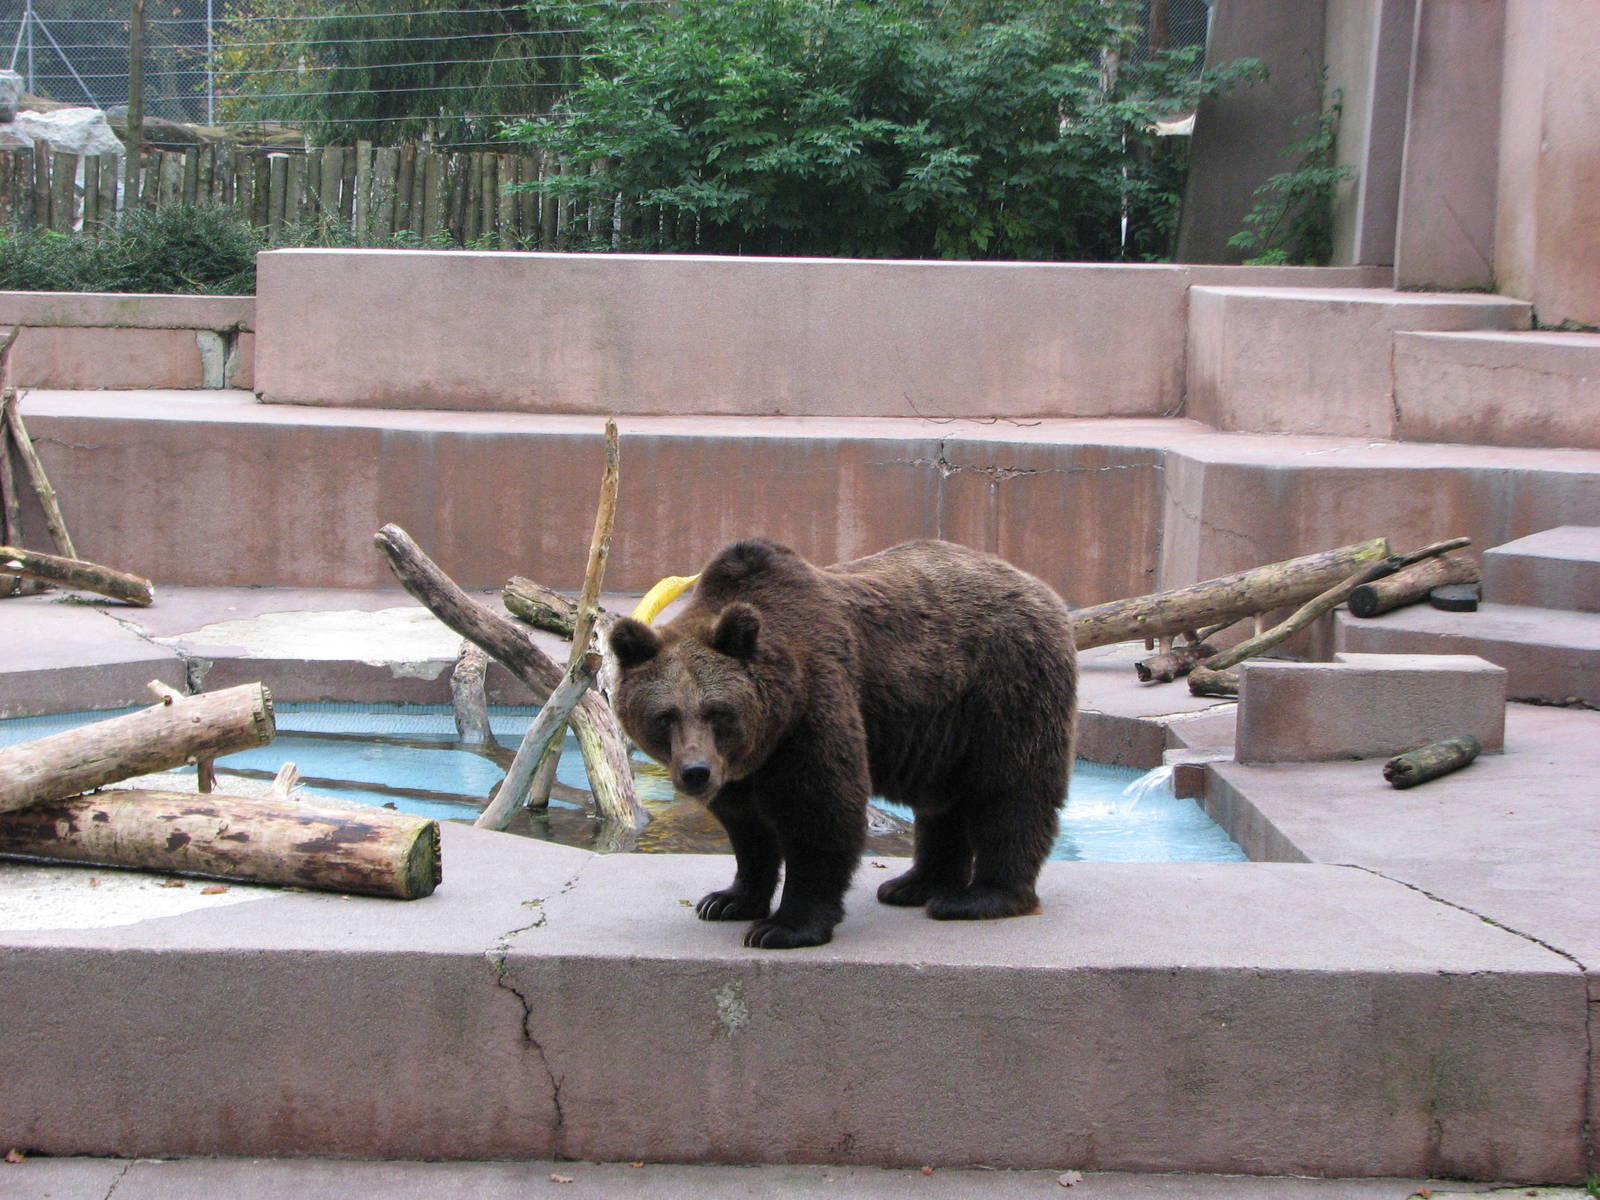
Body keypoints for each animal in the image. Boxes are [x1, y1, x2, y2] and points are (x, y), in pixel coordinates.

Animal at [607, 538, 1078, 950]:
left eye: (717, 711)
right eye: (665, 716)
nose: (696, 772)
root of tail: (1040, 587)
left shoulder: (813, 709)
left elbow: (821, 811)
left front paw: (783, 927)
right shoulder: (746, 766)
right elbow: (747, 829)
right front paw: (727, 900)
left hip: (1003, 687)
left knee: (1011, 791)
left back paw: (981, 896)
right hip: (943, 727)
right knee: (943, 804)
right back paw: (913, 884)